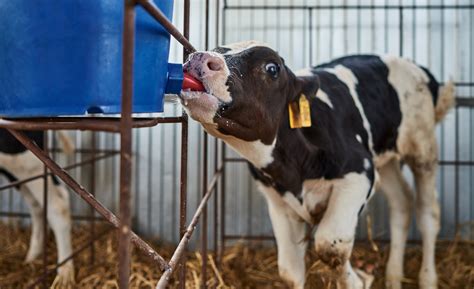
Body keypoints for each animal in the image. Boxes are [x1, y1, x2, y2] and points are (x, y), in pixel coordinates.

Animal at [181, 41, 456, 288]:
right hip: (384, 158)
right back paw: (393, 277)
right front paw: (365, 275)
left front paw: (360, 279)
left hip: (422, 147)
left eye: (272, 68)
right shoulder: (277, 200)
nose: (199, 57)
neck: (292, 169)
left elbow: (330, 245)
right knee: (402, 202)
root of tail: (417, 66)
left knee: (428, 213)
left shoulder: (359, 174)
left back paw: (427, 279)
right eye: (216, 48)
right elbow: (290, 271)